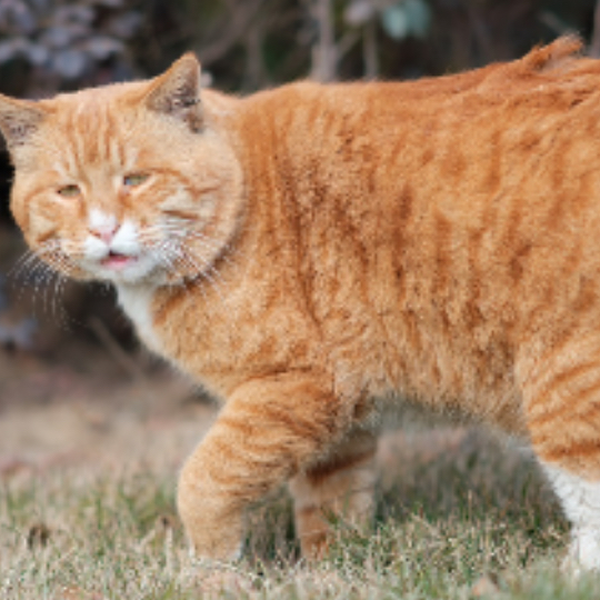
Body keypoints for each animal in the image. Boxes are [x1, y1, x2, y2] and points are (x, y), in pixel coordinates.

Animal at [1, 35, 600, 568]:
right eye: (68, 191)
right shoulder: (337, 416)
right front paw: (331, 570)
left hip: (565, 383)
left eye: (136, 179)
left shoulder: (299, 383)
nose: (104, 230)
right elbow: (330, 500)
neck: (244, 196)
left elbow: (204, 480)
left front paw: (211, 570)